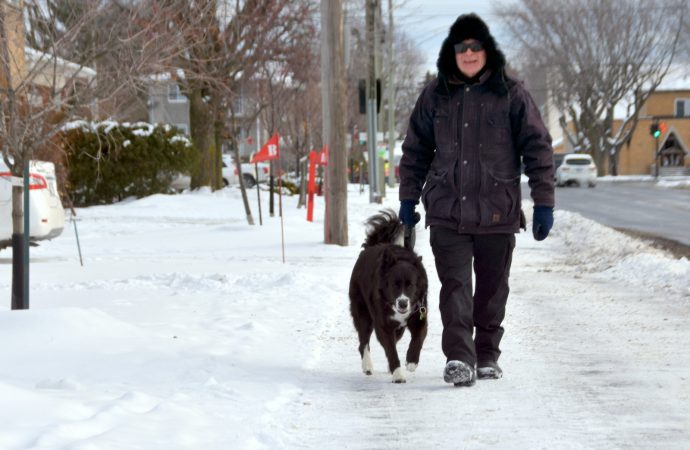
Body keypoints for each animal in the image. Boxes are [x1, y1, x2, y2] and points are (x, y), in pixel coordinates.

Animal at [346, 210, 428, 384]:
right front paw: (398, 374)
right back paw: (367, 366)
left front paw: (411, 361)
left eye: (410, 285)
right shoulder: (383, 324)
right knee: (363, 341)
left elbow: (418, 338)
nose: (403, 303)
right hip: (362, 312)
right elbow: (390, 349)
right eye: (394, 284)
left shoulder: (419, 314)